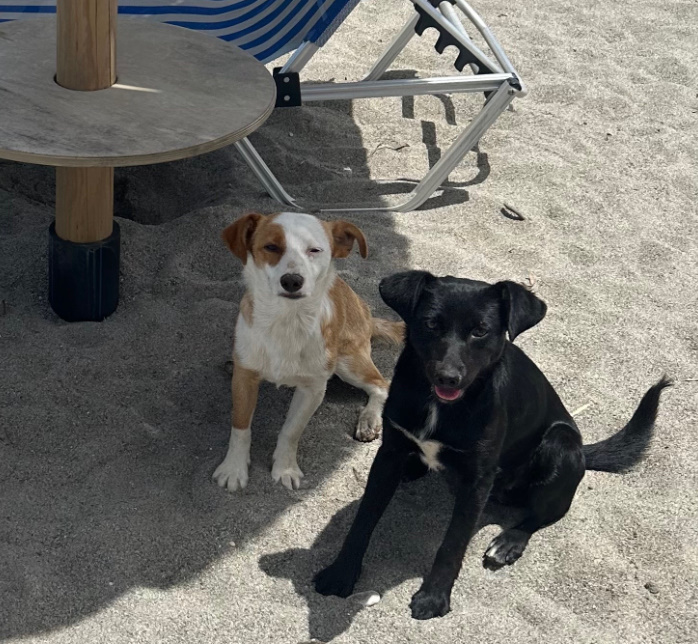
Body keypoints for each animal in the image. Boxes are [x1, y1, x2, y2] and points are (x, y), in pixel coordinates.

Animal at [212, 214, 402, 490]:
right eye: (271, 247)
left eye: (315, 250)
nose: (292, 280)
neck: (287, 322)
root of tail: (367, 313)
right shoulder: (244, 378)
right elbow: (240, 426)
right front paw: (234, 469)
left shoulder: (312, 389)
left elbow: (291, 431)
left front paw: (285, 468)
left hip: (348, 361)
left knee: (381, 384)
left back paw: (369, 420)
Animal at [314, 270, 668, 620]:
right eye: (431, 324)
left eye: (481, 331)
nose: (448, 378)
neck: (439, 406)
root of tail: (582, 449)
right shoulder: (389, 454)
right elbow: (364, 519)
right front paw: (341, 573)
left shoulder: (477, 481)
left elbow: (452, 544)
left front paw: (434, 597)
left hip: (560, 443)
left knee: (548, 512)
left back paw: (510, 541)